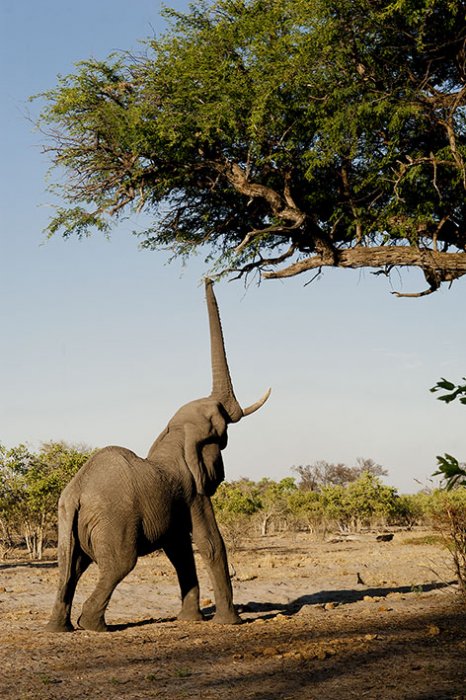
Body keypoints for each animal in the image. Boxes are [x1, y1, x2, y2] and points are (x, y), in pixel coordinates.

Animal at [46, 280, 270, 636]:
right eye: (220, 434)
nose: (207, 278)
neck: (173, 435)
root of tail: (76, 494)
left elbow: (179, 551)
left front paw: (190, 620)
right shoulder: (194, 492)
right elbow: (209, 543)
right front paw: (230, 622)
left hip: (69, 523)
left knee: (70, 567)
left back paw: (61, 628)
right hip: (114, 523)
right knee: (119, 564)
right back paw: (94, 626)